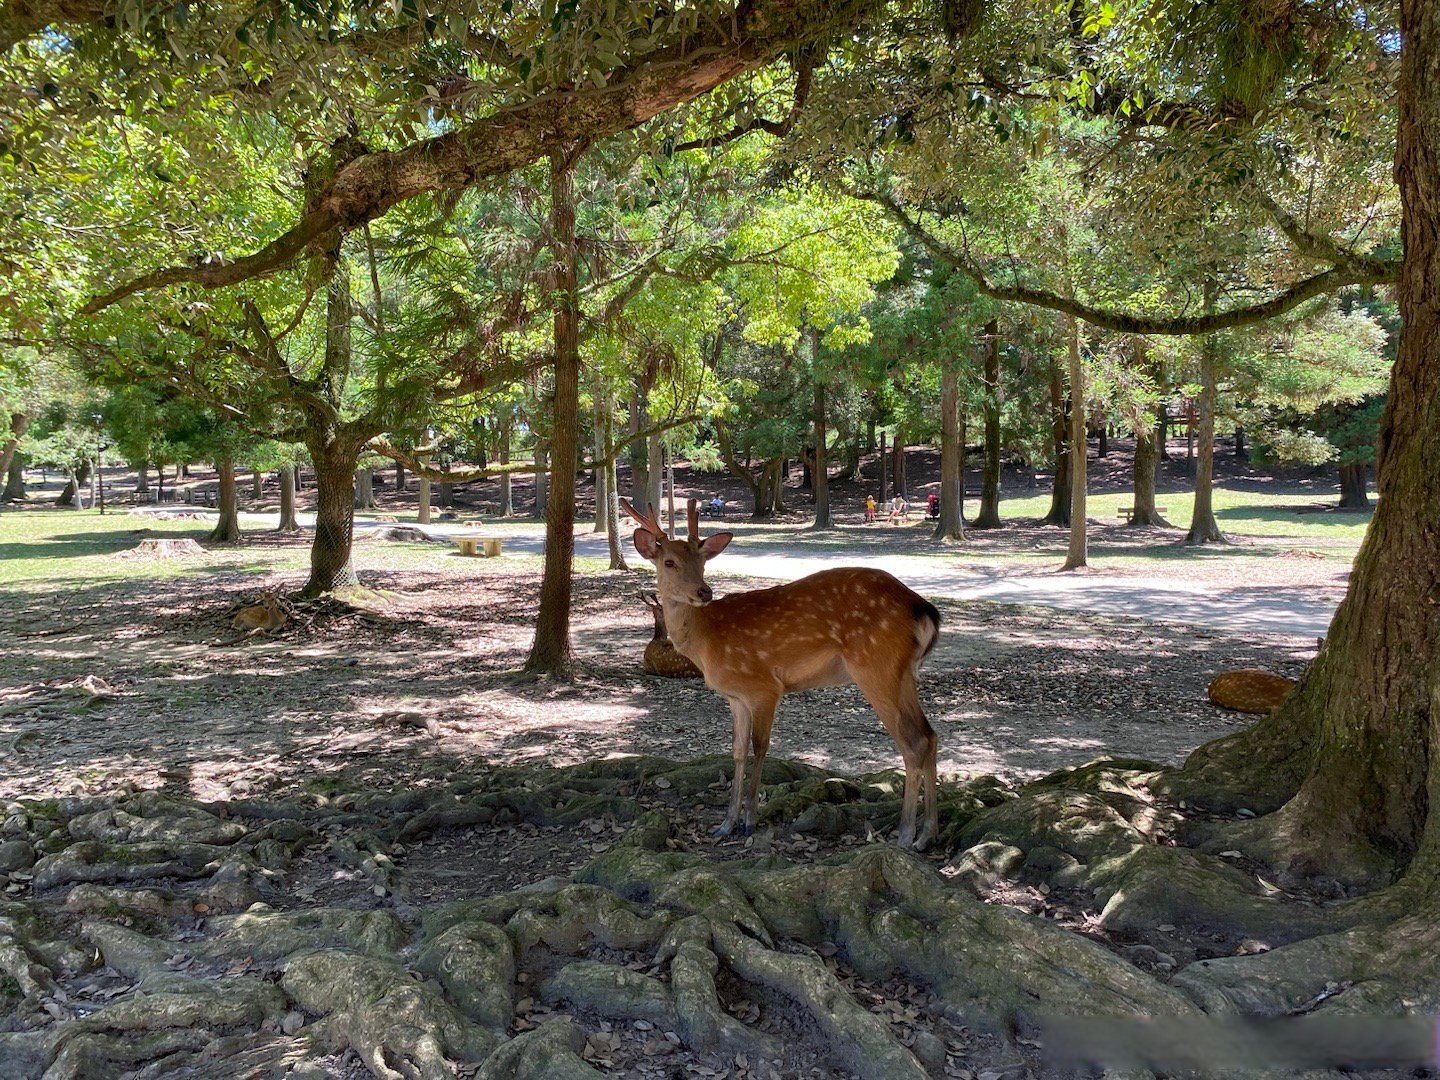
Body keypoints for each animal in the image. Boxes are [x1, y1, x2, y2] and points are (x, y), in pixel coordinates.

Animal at [622, 501, 944, 852]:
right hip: (903, 672)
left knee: (912, 742)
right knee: (930, 735)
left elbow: (760, 747)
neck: (706, 640)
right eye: (669, 561)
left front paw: (749, 821)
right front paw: (725, 824)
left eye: (702, 562)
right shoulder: (735, 696)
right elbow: (737, 750)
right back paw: (927, 834)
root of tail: (923, 609)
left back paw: (906, 835)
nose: (703, 592)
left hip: (876, 666)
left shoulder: (763, 686)